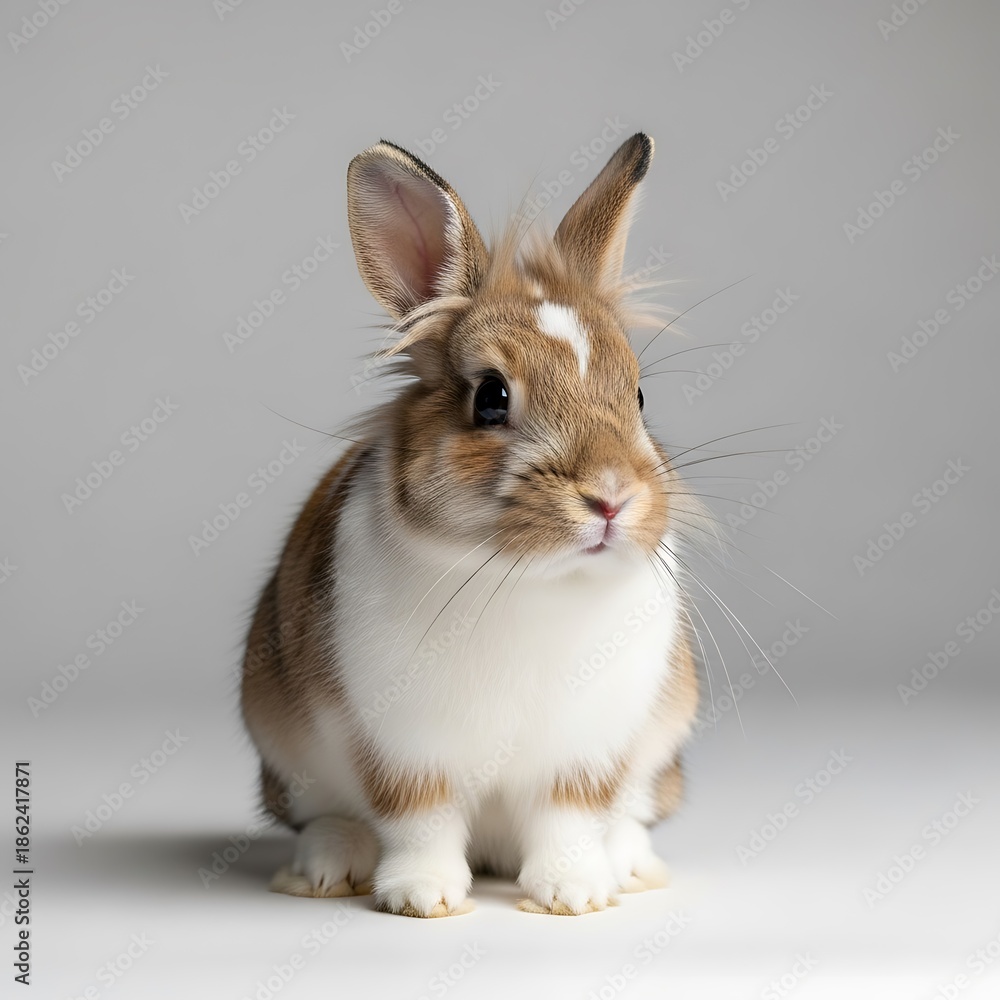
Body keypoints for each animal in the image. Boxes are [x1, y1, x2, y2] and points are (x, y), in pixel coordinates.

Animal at [240, 132, 702, 917]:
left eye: (638, 396)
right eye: (491, 398)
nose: (611, 498)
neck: (532, 578)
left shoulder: (584, 754)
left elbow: (569, 818)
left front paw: (574, 895)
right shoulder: (406, 749)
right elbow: (420, 817)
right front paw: (422, 898)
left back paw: (632, 868)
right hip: (287, 756)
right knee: (325, 816)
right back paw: (327, 870)